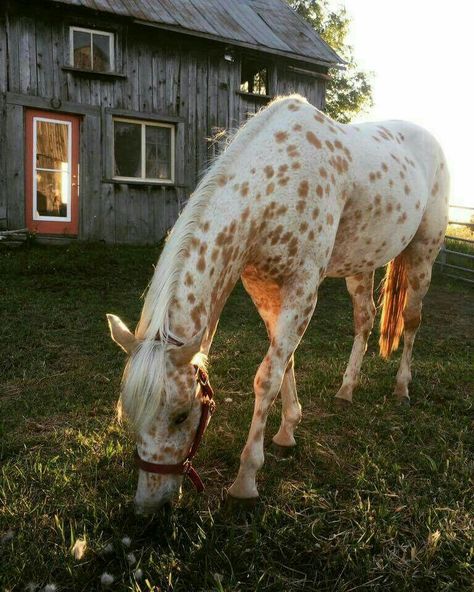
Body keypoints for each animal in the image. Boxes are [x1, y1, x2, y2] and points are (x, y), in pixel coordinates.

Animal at [106, 93, 448, 512]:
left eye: (181, 416)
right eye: (131, 416)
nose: (149, 506)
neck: (276, 181)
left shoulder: (303, 286)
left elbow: (268, 375)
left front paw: (246, 479)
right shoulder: (263, 286)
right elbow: (285, 361)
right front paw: (288, 430)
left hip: (423, 255)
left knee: (412, 322)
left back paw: (402, 388)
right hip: (362, 263)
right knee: (365, 319)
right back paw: (346, 389)